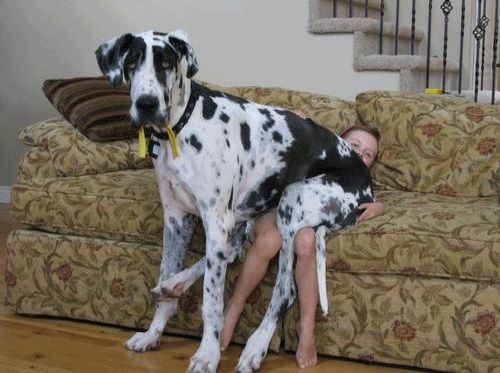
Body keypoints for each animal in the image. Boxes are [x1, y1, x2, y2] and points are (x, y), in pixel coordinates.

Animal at [95, 29, 374, 372]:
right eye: (131, 60)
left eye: (166, 62)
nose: (147, 103)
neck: (183, 127)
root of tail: (367, 185)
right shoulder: (176, 221)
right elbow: (170, 273)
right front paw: (153, 333)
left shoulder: (216, 221)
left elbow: (212, 302)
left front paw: (207, 355)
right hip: (249, 217)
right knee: (234, 254)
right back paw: (174, 286)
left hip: (291, 201)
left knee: (284, 289)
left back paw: (256, 346)